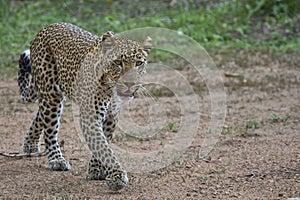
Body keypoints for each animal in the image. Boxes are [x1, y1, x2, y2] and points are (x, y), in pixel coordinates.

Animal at [17, 21, 151, 191]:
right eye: (118, 63)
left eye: (138, 63)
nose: (129, 84)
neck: (110, 88)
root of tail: (47, 27)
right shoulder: (91, 116)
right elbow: (102, 146)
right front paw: (116, 177)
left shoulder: (111, 116)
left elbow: (103, 142)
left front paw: (96, 170)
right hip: (52, 94)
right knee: (50, 128)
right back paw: (56, 160)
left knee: (40, 115)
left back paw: (30, 144)